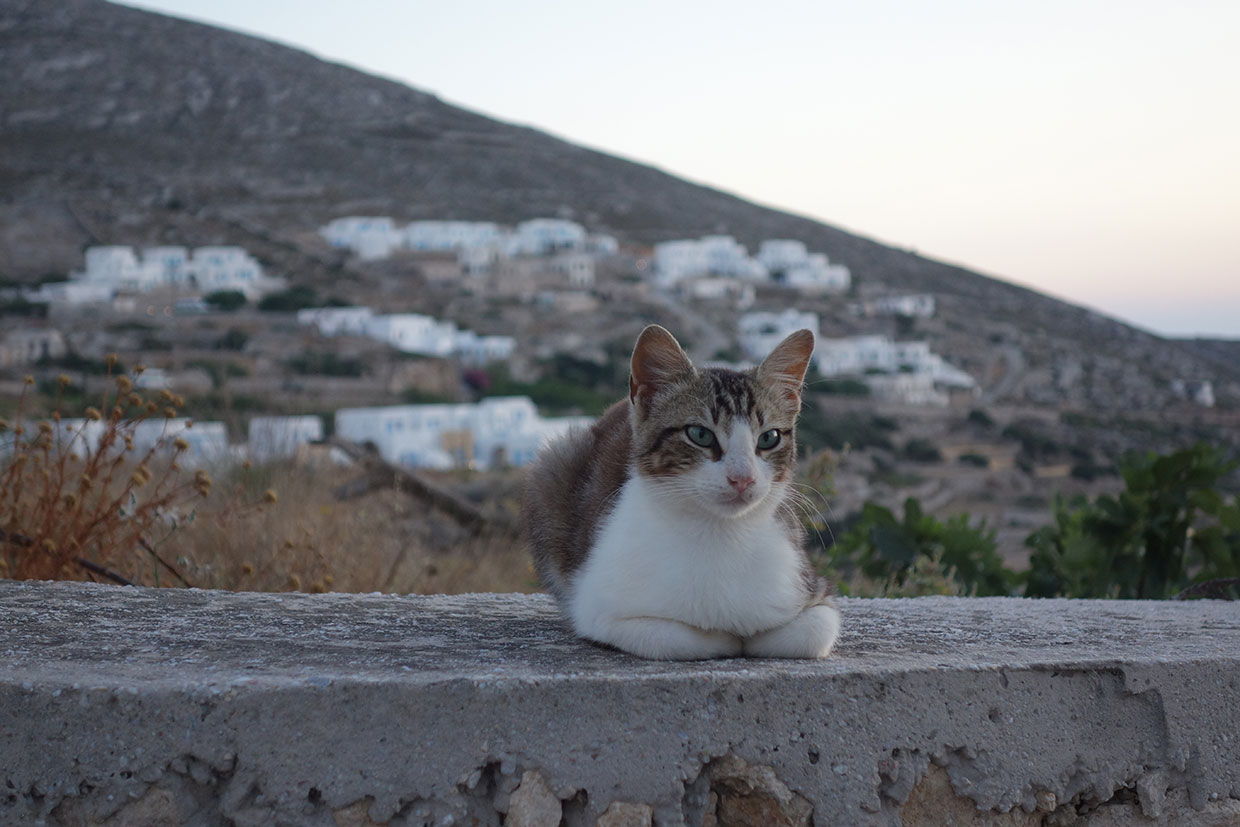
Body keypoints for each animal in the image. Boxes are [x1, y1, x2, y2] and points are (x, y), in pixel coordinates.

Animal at [518, 322, 838, 659]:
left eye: (769, 438)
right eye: (699, 434)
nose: (742, 478)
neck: (719, 533)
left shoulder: (809, 587)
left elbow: (814, 630)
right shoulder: (597, 608)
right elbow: (673, 637)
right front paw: (726, 637)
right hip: (553, 465)